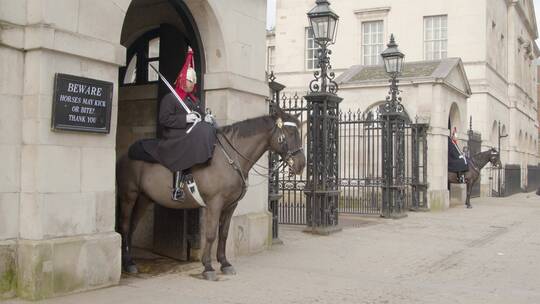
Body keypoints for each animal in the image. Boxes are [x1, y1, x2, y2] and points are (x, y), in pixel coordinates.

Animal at [116, 107, 306, 280]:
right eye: (290, 132)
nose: (301, 165)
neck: (231, 158)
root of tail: (125, 154)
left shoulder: (231, 205)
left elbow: (224, 233)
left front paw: (224, 263)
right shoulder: (215, 203)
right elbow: (211, 234)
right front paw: (207, 266)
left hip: (144, 198)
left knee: (132, 226)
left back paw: (130, 261)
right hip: (129, 196)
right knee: (124, 226)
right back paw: (127, 263)